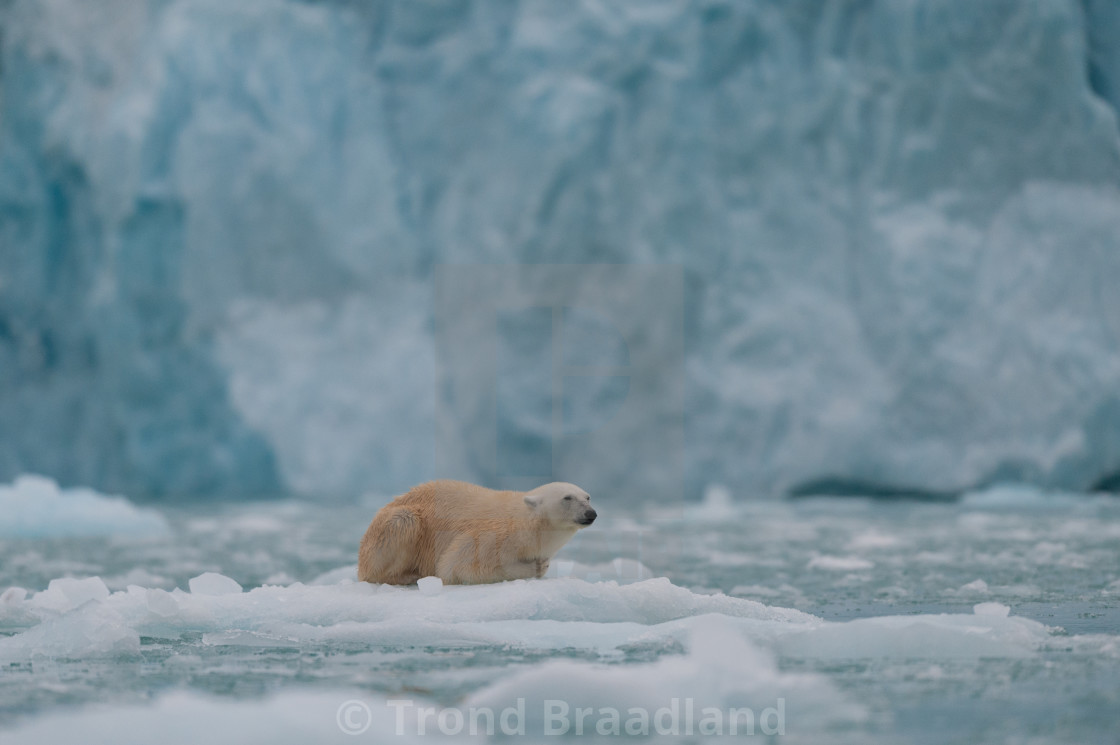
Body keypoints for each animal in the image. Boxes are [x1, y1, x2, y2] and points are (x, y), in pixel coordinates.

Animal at [362, 479, 600, 582]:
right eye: (567, 498)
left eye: (587, 497)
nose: (591, 514)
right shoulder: (493, 536)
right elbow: (456, 565)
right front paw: (536, 567)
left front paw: (542, 563)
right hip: (398, 524)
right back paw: (407, 576)